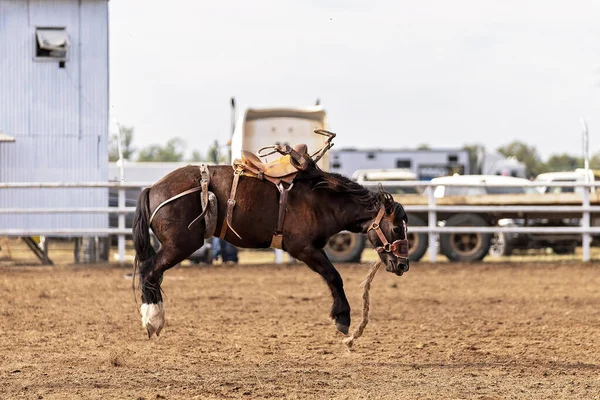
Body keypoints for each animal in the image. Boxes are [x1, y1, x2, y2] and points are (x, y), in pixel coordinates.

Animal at [133, 161, 410, 336]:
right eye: (397, 229)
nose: (403, 264)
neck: (322, 200)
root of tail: (152, 189)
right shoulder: (304, 248)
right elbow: (334, 276)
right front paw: (343, 318)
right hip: (180, 245)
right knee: (149, 271)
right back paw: (153, 319)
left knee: (152, 273)